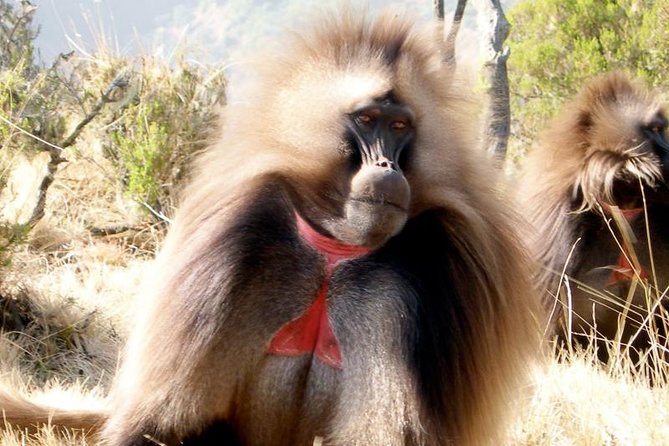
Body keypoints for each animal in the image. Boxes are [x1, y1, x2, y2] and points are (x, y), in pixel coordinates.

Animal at [0, 8, 543, 446]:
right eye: (368, 119)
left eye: (401, 127)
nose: (387, 166)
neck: (335, 252)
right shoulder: (234, 237)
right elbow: (166, 422)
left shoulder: (439, 275)